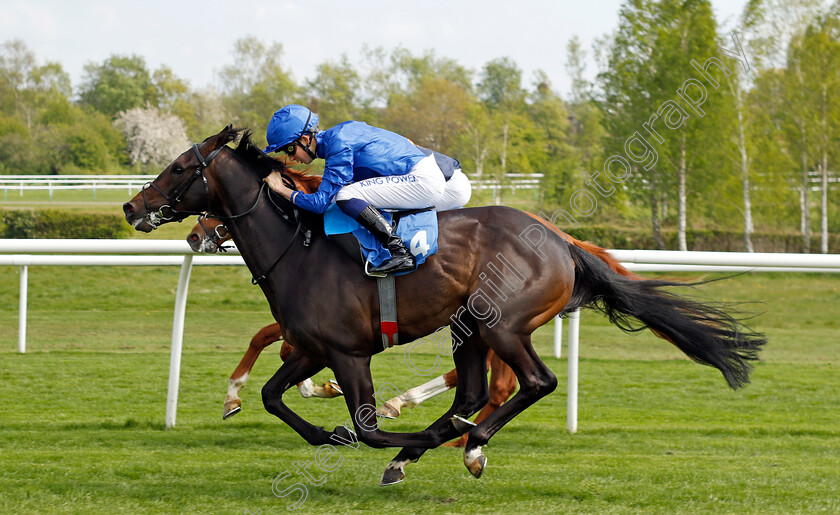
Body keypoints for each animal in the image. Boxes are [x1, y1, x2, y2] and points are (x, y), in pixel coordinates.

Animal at [123, 127, 768, 486]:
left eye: (179, 167)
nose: (132, 207)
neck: (298, 248)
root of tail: (562, 242)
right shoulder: (311, 347)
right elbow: (272, 395)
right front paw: (317, 429)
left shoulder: (349, 354)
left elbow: (366, 427)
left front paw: (382, 436)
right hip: (469, 329)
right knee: (475, 391)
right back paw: (443, 440)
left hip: (502, 324)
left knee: (531, 383)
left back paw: (468, 444)